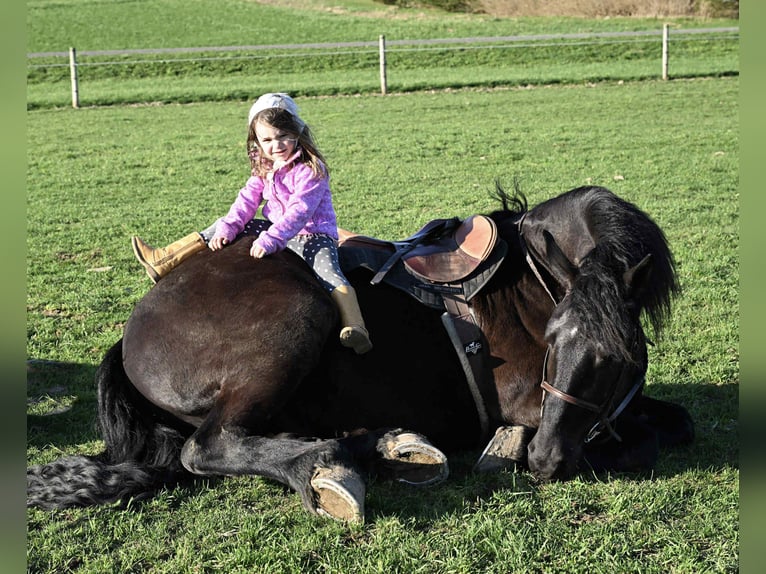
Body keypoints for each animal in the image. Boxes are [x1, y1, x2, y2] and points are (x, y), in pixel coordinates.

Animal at [27, 185, 694, 522]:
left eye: (617, 356)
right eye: (554, 340)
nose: (547, 461)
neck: (534, 281)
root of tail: (130, 333)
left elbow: (672, 419)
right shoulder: (534, 405)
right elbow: (637, 439)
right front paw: (511, 448)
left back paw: (392, 445)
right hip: (296, 319)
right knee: (207, 448)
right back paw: (327, 464)